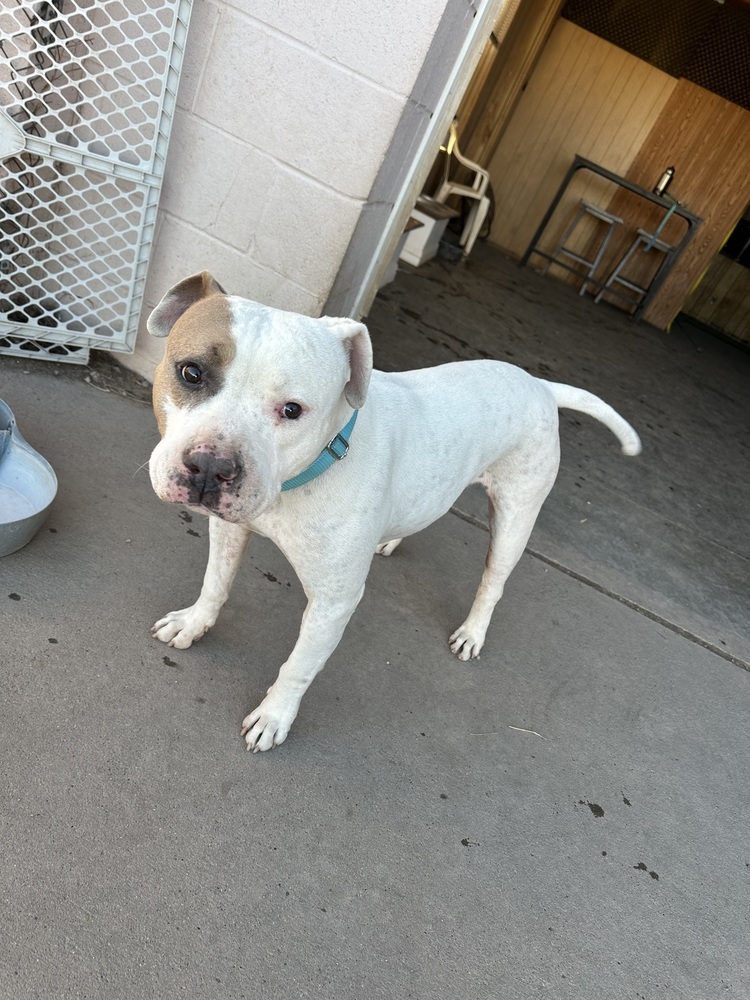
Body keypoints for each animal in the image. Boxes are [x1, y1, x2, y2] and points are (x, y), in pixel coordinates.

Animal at [150, 272, 644, 752]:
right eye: (191, 372)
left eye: (292, 409)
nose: (210, 467)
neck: (306, 473)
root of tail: (540, 385)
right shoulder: (230, 529)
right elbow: (215, 583)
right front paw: (193, 623)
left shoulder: (334, 602)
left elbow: (298, 666)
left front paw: (274, 717)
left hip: (516, 516)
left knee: (494, 581)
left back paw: (473, 631)